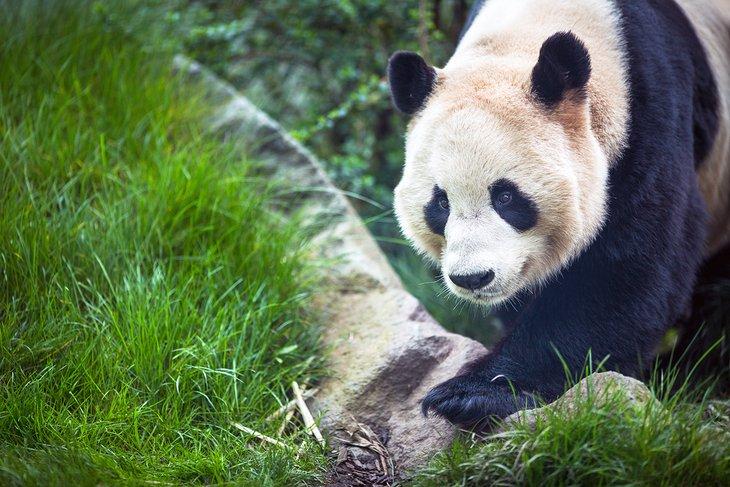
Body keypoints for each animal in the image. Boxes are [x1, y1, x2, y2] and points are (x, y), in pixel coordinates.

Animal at [388, 0, 730, 425]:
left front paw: (472, 394)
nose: (473, 278)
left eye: (506, 197)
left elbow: (621, 274)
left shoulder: (652, 112)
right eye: (441, 203)